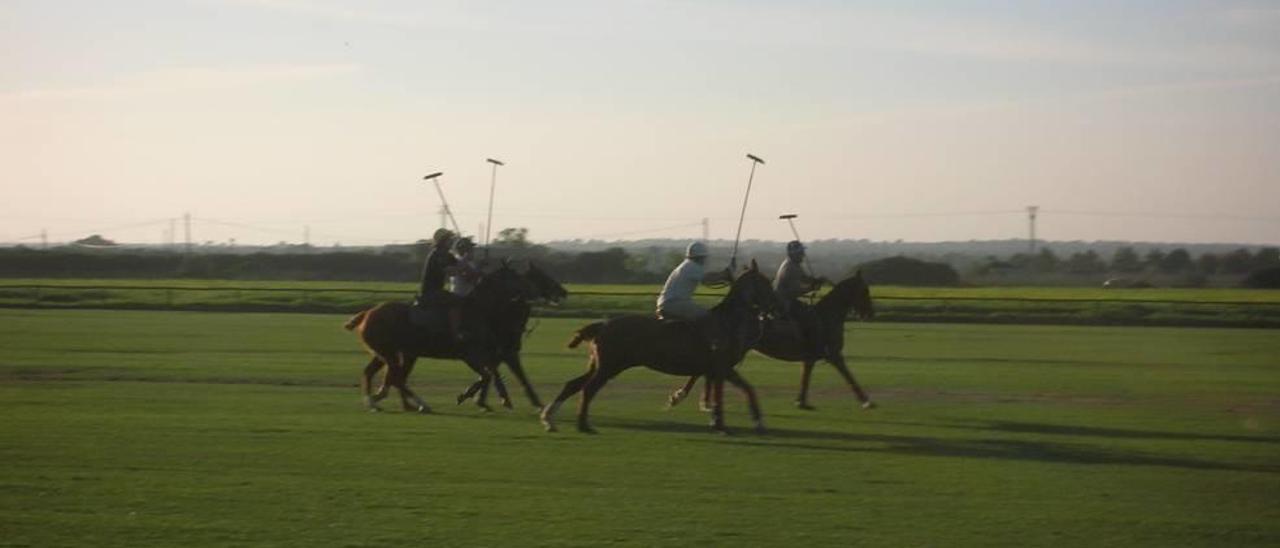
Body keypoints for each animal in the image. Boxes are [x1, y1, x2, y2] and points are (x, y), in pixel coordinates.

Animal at [345, 263, 555, 412]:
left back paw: (384, 402)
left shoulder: (491, 354)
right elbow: (488, 375)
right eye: (517, 278)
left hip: (391, 353)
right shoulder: (472, 355)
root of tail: (366, 314)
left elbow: (490, 374)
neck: (483, 310)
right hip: (390, 353)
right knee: (395, 377)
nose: (560, 292)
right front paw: (468, 396)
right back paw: (409, 403)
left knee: (378, 374)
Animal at [540, 258, 778, 435]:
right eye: (766, 282)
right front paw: (728, 424)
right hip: (610, 366)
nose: (777, 307)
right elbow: (731, 393)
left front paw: (750, 422)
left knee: (573, 385)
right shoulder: (721, 368)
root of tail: (602, 325)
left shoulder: (718, 370)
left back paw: (550, 419)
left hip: (599, 365)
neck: (729, 322)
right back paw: (583, 425)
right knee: (588, 389)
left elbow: (741, 390)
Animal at [665, 270, 875, 409]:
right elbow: (849, 375)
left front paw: (801, 401)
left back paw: (699, 399)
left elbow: (805, 378)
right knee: (703, 370)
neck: (826, 316)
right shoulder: (833, 355)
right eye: (865, 290)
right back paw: (682, 396)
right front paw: (866, 400)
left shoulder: (811, 358)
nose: (869, 314)